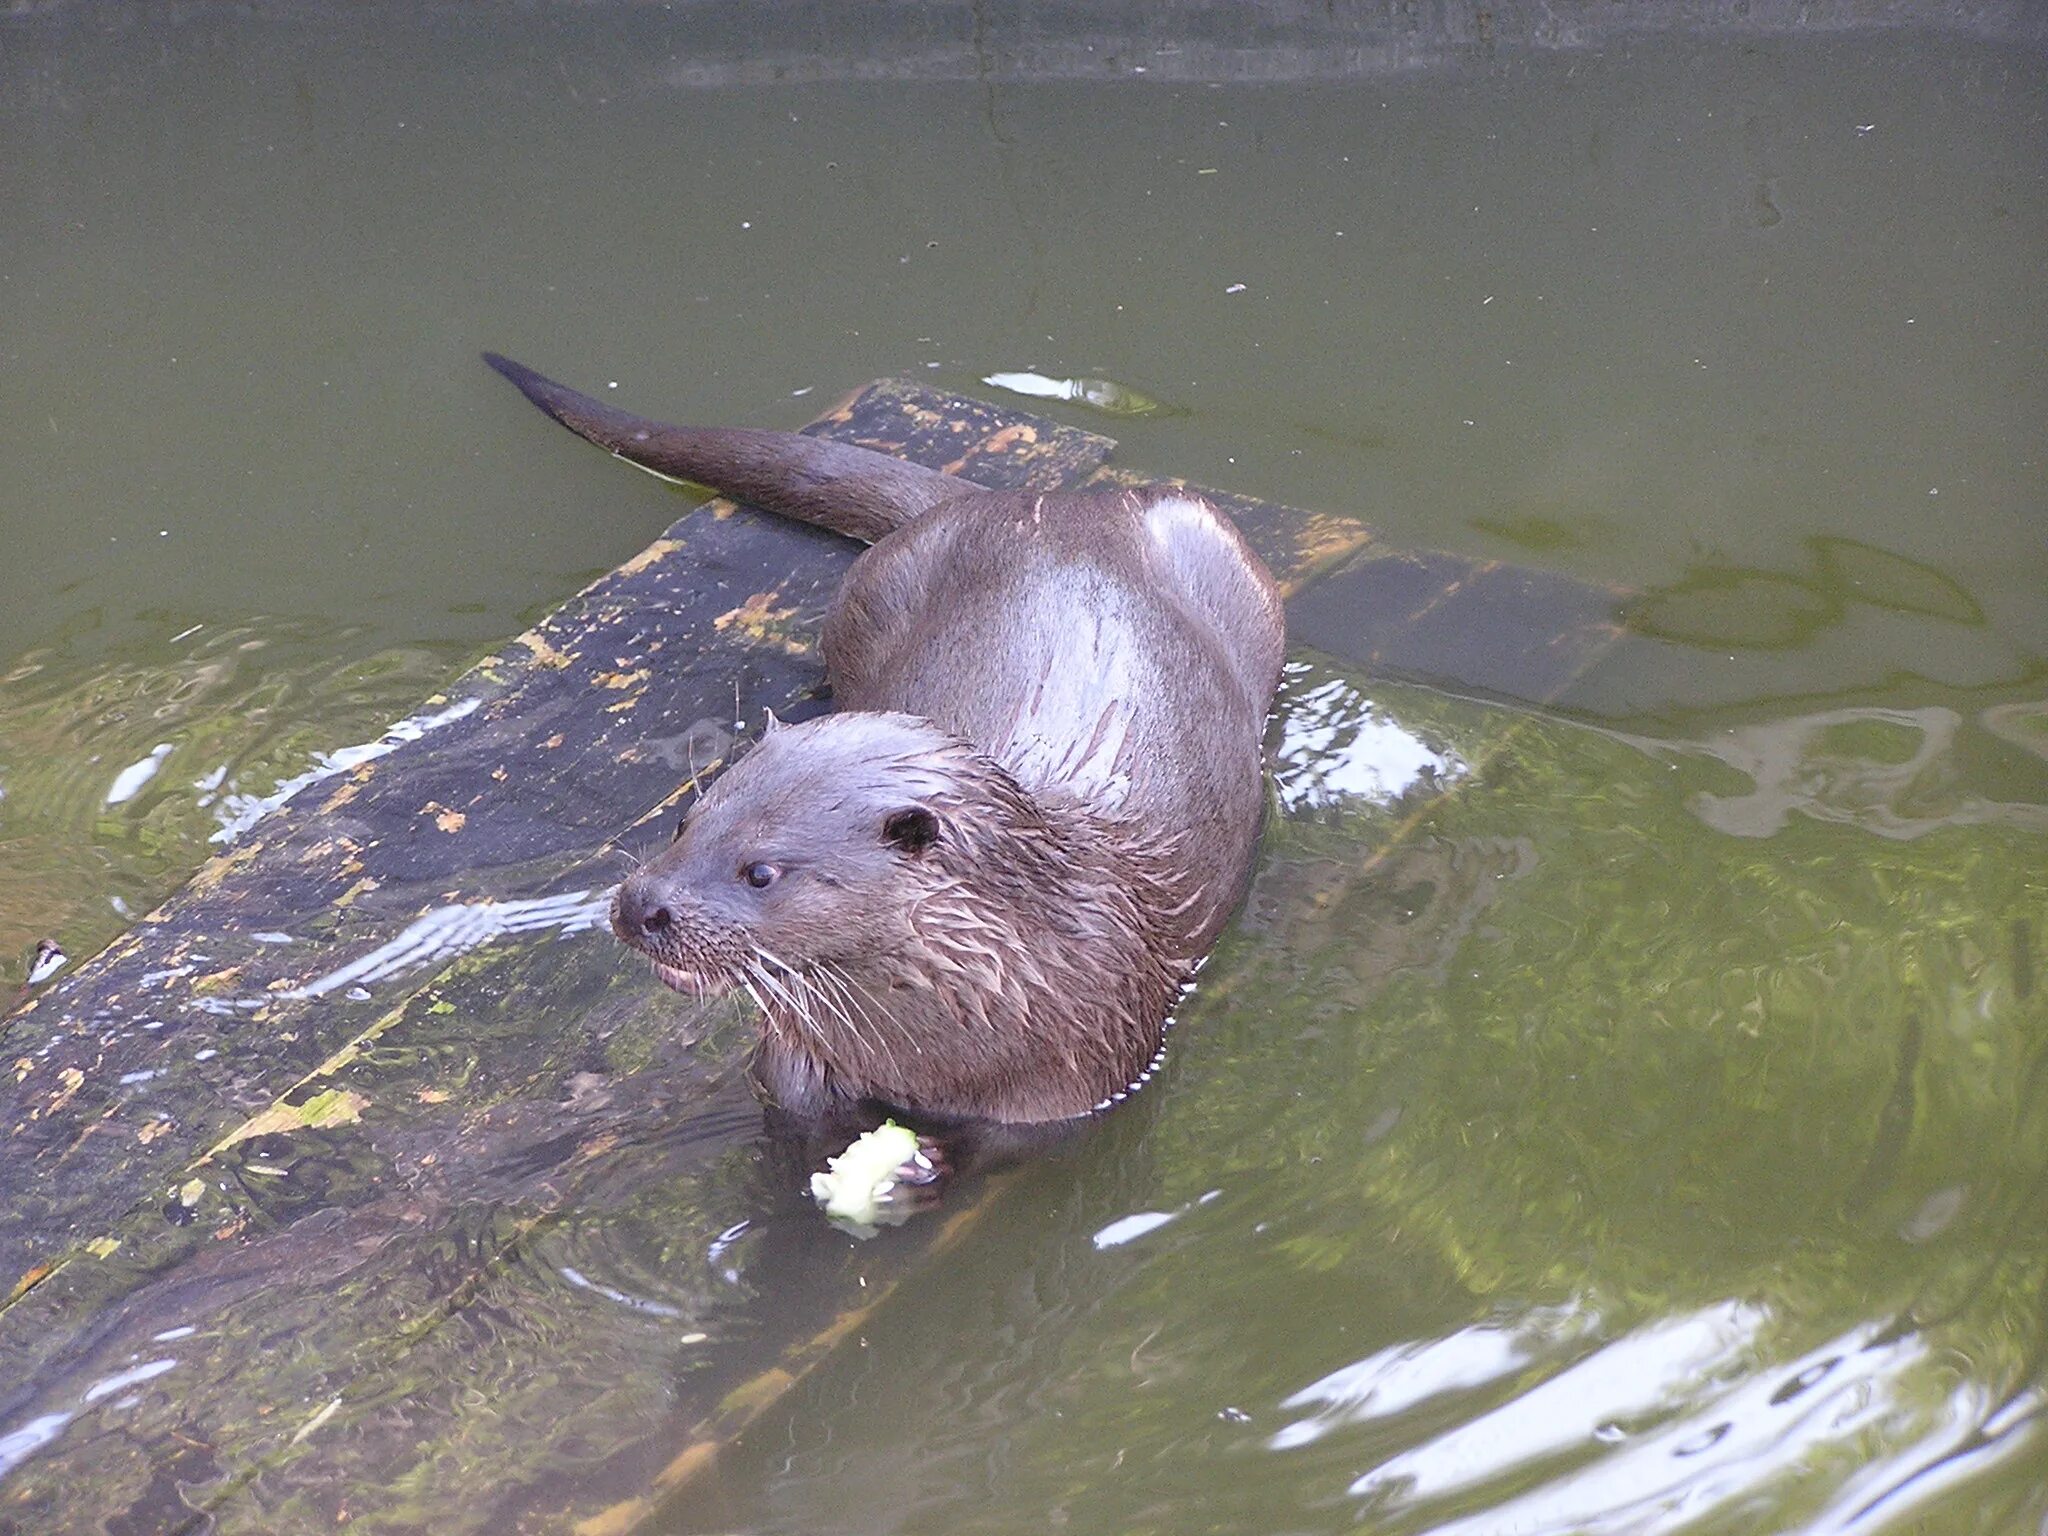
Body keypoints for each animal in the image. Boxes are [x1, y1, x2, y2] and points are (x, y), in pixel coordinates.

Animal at [483, 358, 1277, 1130]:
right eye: (683, 824)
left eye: (761, 873)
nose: (641, 905)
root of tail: (1038, 503)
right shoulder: (797, 1056)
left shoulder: (1085, 1067)